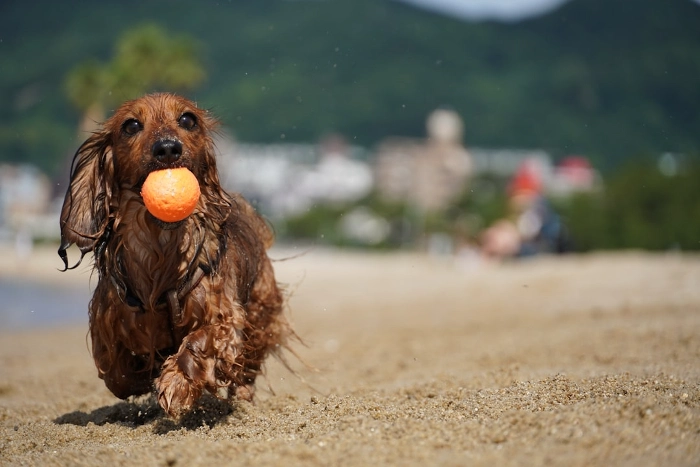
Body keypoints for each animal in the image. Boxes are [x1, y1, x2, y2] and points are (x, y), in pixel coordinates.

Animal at [58, 94, 290, 416]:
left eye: (187, 120)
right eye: (131, 125)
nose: (168, 148)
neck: (160, 245)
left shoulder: (223, 315)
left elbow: (201, 340)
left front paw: (178, 381)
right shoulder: (107, 321)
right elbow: (115, 373)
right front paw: (143, 374)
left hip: (259, 312)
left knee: (248, 365)